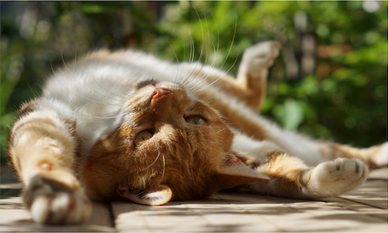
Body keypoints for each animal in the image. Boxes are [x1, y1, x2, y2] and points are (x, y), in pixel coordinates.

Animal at [7, 41, 386, 225]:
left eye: (194, 120)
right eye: (144, 136)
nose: (161, 92)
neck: (104, 112)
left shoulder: (253, 149)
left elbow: (287, 175)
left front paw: (328, 179)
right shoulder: (44, 117)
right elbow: (40, 151)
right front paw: (53, 192)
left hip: (203, 77)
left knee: (252, 98)